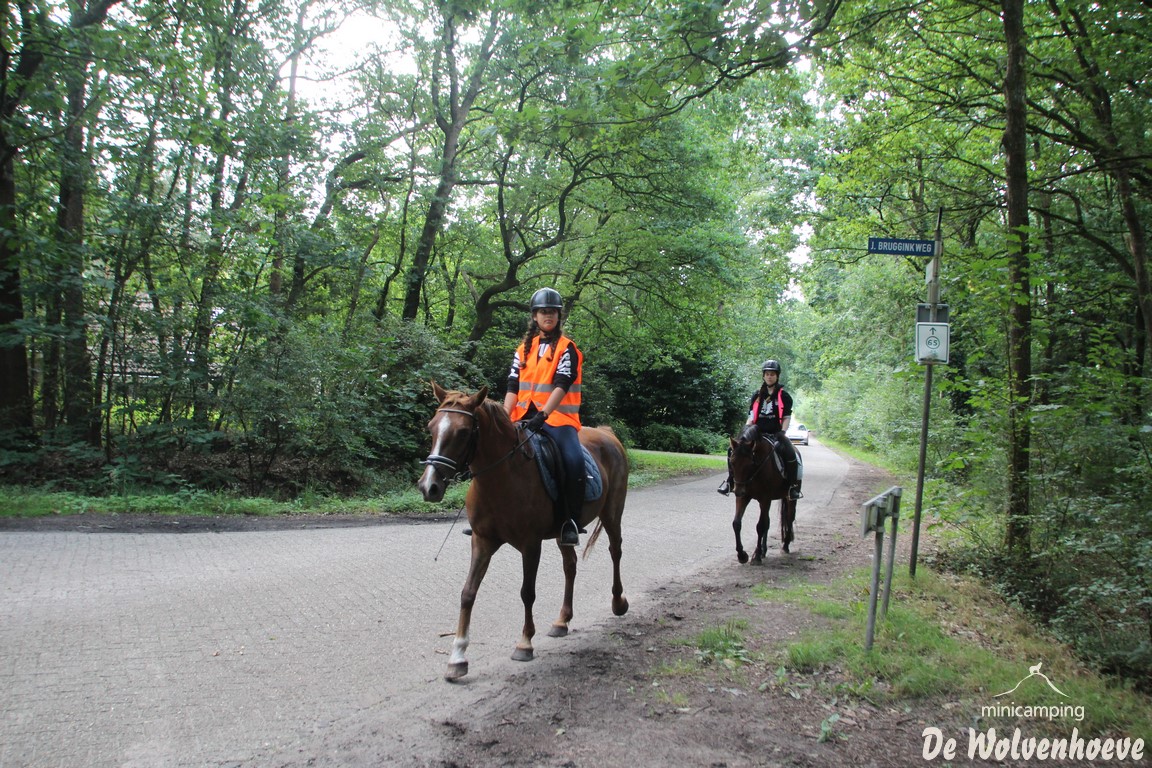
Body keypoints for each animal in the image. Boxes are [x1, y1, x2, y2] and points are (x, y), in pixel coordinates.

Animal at [417, 382, 630, 681]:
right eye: (431, 427)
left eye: (463, 432)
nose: (429, 487)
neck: (502, 477)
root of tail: (607, 434)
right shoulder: (482, 541)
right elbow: (468, 592)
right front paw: (457, 657)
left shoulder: (530, 545)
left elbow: (527, 592)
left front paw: (525, 643)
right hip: (565, 532)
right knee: (570, 566)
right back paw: (562, 620)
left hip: (612, 513)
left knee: (615, 551)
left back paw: (618, 602)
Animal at [729, 424, 797, 563]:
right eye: (732, 462)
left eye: (750, 464)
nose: (738, 491)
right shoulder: (744, 497)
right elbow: (737, 523)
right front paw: (742, 555)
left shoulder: (765, 499)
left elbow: (760, 526)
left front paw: (756, 556)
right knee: (768, 522)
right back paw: (764, 550)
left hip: (790, 499)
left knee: (789, 518)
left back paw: (785, 546)